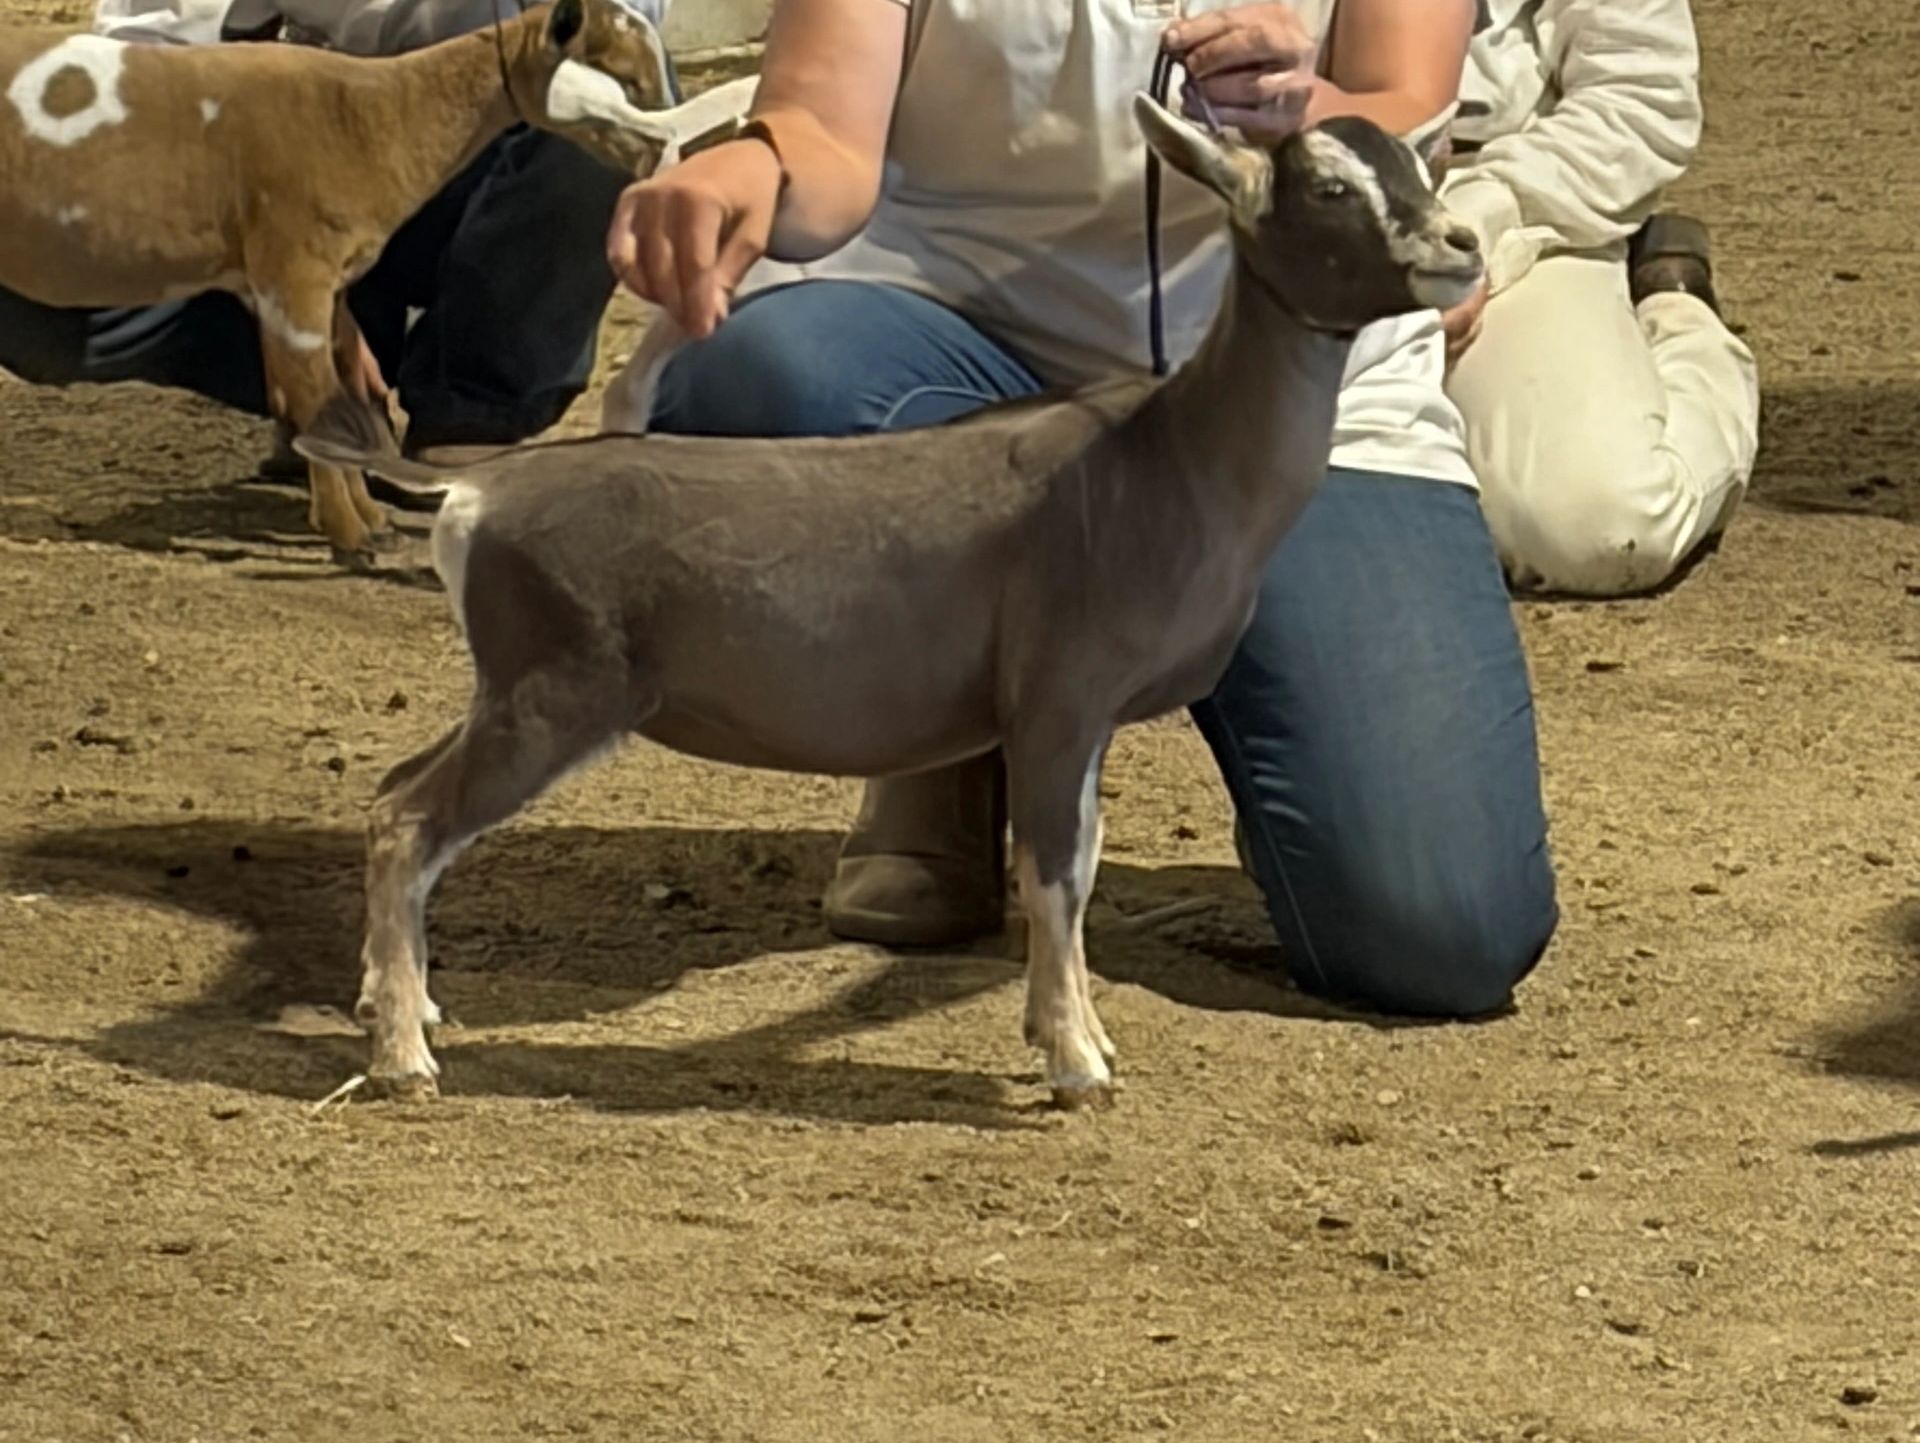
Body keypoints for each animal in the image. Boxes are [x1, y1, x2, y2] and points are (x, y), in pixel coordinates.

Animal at [0, 0, 744, 565]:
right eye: (624, 78)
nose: (675, 154)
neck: (376, 116)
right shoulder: (294, 274)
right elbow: (316, 397)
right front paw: (352, 534)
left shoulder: (315, 286)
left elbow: (337, 388)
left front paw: (363, 515)